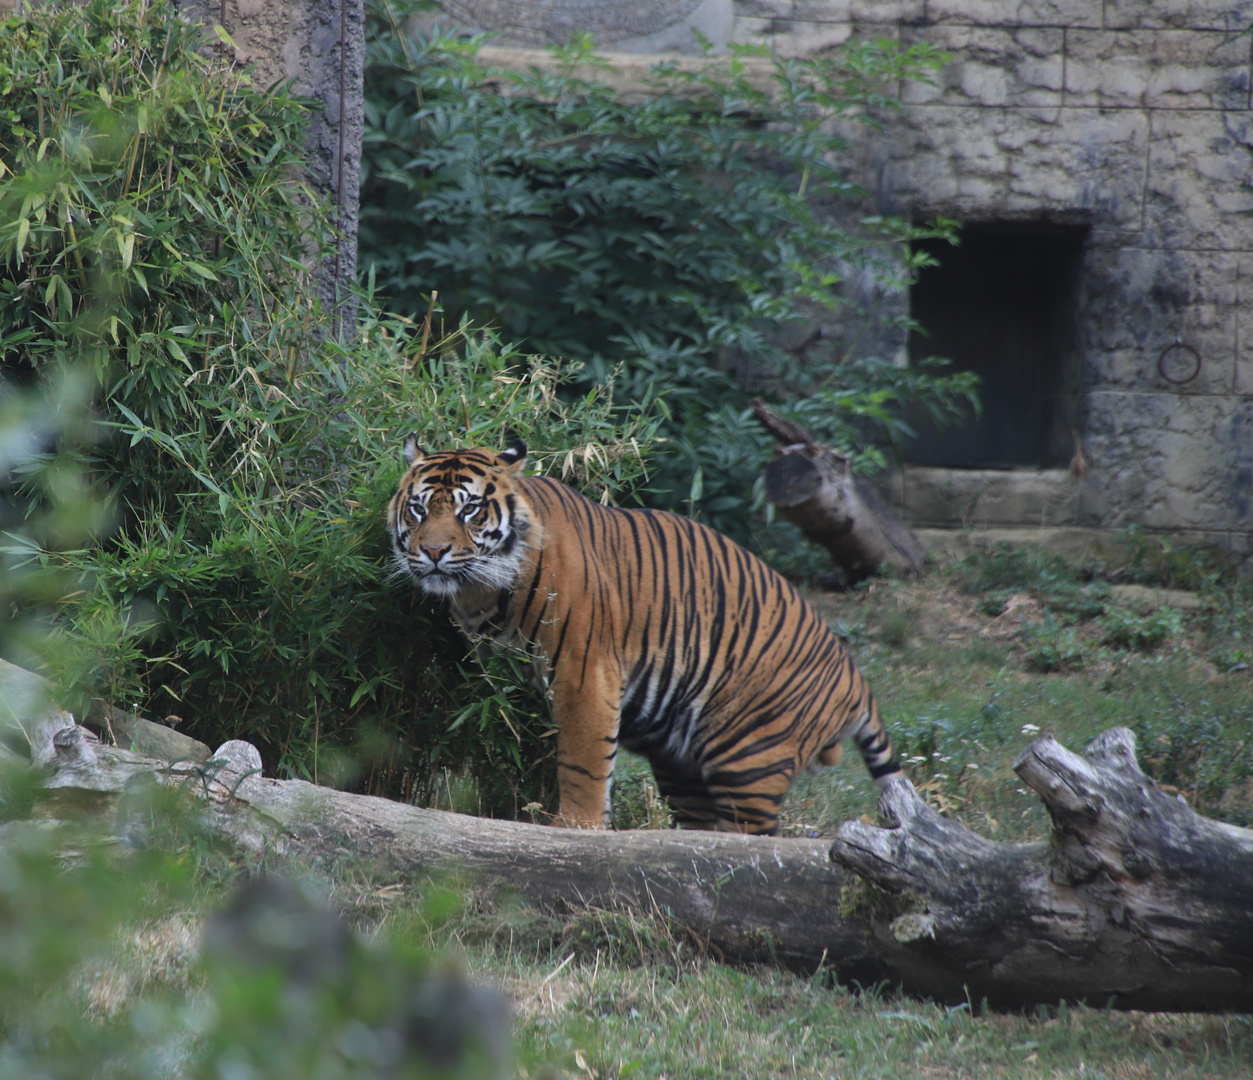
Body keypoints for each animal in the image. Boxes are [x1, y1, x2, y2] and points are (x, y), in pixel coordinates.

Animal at [385, 441, 897, 836]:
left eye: (469, 509)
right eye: (418, 508)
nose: (433, 552)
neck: (479, 590)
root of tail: (856, 678)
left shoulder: (583, 674)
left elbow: (582, 763)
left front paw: (577, 828)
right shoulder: (507, 681)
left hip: (749, 753)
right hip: (683, 767)